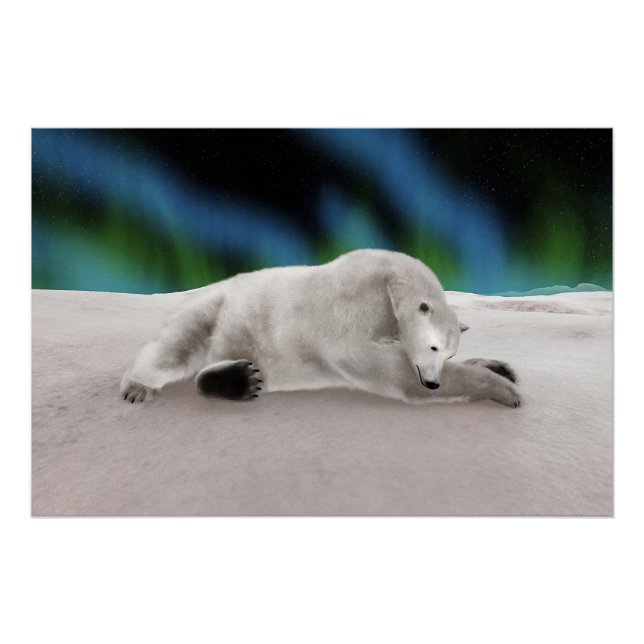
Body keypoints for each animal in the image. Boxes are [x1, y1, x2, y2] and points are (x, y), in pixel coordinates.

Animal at [120, 249, 521, 408]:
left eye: (449, 352)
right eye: (434, 347)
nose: (433, 382)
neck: (390, 282)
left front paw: (501, 367)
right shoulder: (353, 308)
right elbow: (389, 370)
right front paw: (505, 390)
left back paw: (240, 378)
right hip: (212, 308)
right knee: (174, 348)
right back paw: (138, 386)